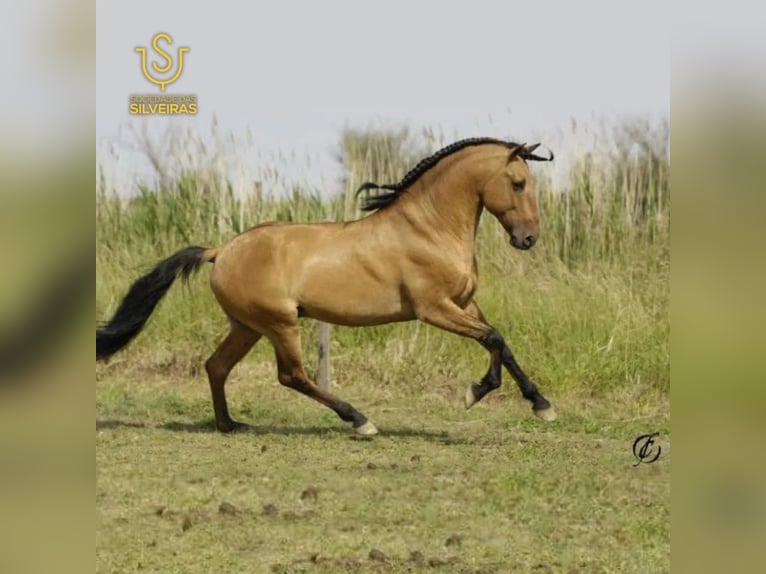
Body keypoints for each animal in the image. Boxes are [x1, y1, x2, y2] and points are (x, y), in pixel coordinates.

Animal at [99, 138, 560, 436]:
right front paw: (476, 393)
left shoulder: (465, 303)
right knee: (292, 376)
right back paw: (359, 421)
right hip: (280, 323)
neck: (430, 227)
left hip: (247, 326)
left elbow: (500, 343)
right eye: (518, 183)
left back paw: (229, 425)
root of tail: (222, 249)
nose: (529, 238)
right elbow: (494, 338)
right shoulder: (435, 308)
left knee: (216, 366)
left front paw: (540, 405)